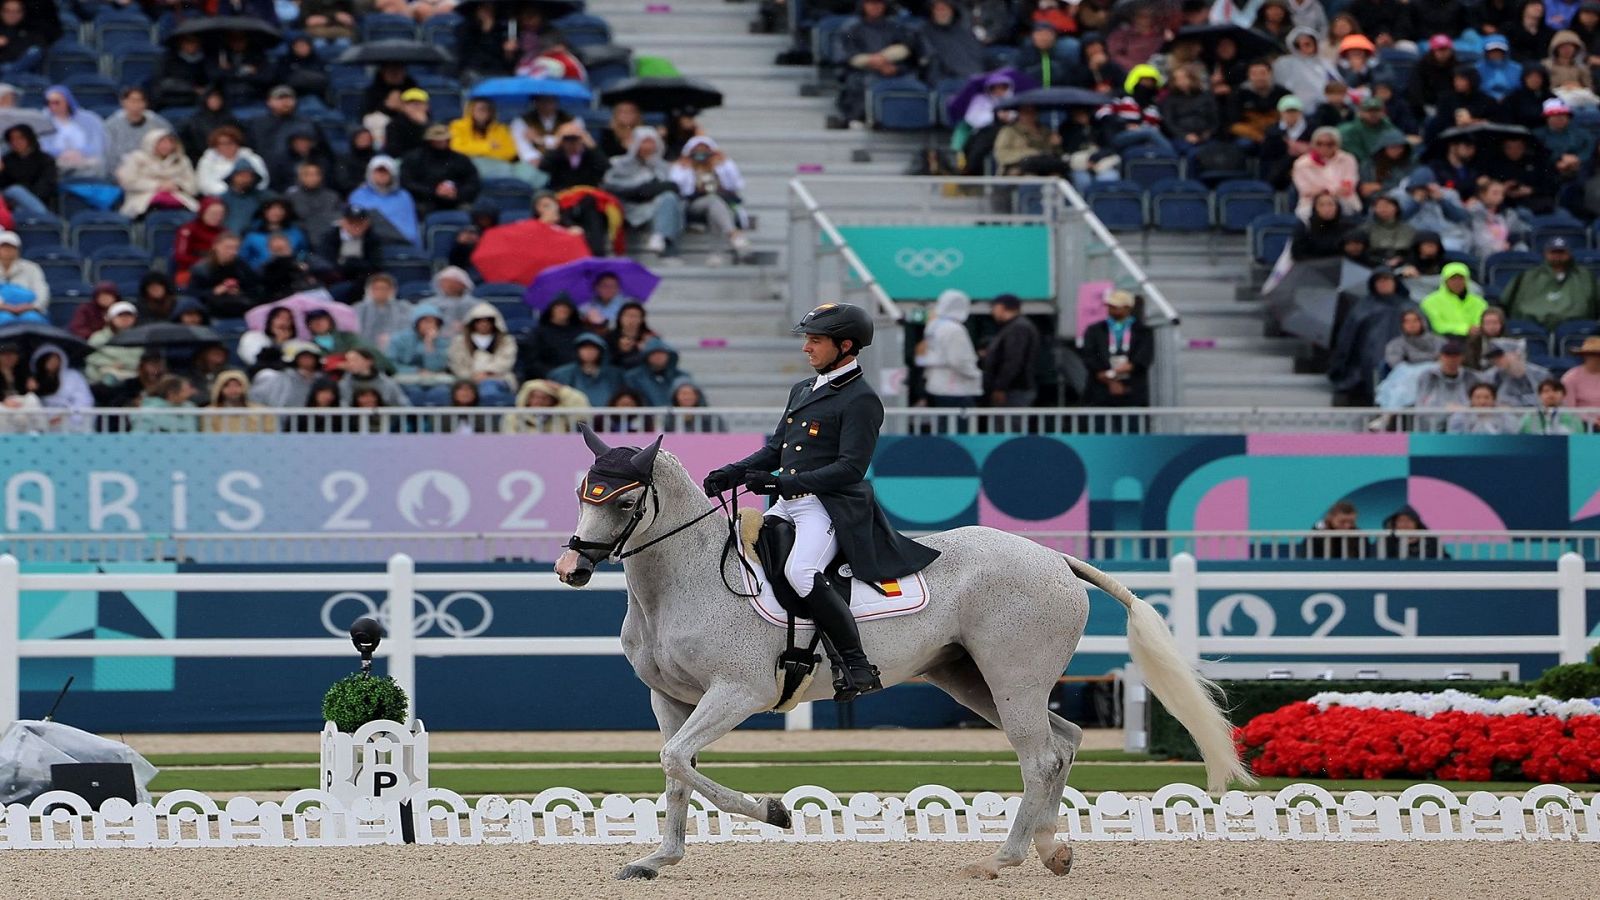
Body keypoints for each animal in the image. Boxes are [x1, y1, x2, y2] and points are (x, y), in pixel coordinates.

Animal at [556, 432, 1254, 877]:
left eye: (624, 500)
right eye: (582, 492)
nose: (571, 569)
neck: (687, 576)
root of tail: (1054, 557)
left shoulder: (737, 692)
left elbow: (679, 762)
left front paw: (776, 812)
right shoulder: (670, 698)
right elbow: (675, 769)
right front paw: (659, 860)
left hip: (1013, 677)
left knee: (1040, 757)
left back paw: (1002, 859)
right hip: (973, 680)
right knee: (1065, 741)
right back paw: (1051, 850)